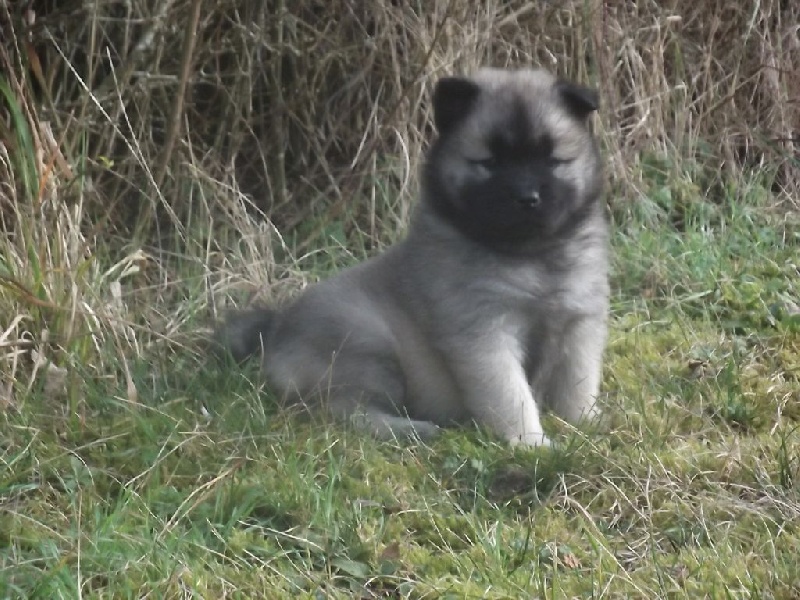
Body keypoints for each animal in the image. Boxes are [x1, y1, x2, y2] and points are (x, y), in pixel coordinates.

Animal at [216, 69, 608, 446]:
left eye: (553, 160)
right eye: (490, 162)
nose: (527, 197)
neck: (531, 255)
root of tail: (276, 329)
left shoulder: (580, 325)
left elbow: (577, 383)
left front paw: (584, 425)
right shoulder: (484, 333)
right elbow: (510, 395)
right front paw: (531, 443)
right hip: (367, 349)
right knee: (344, 412)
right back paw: (413, 430)